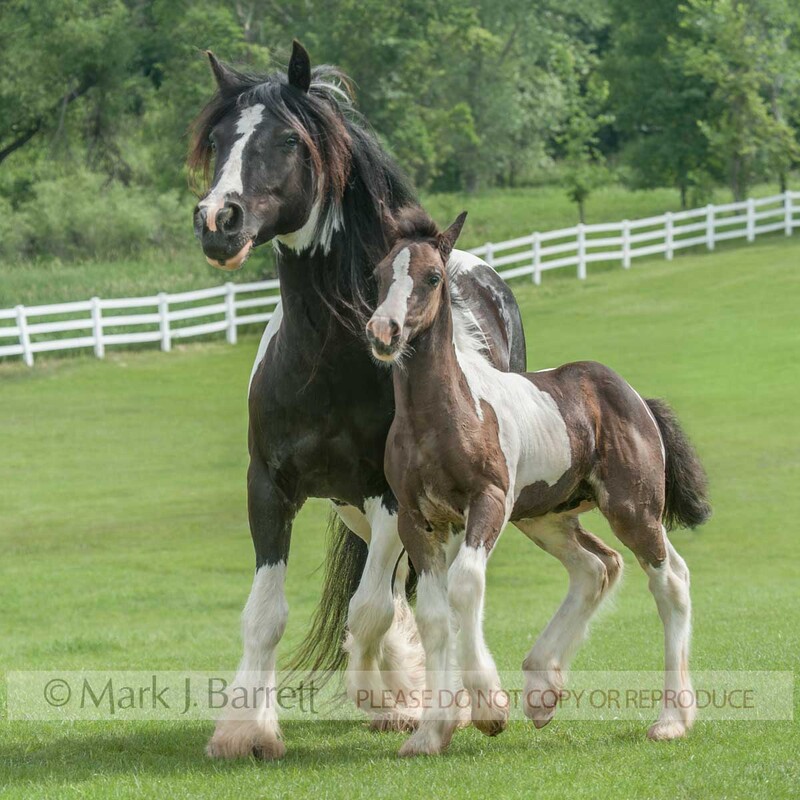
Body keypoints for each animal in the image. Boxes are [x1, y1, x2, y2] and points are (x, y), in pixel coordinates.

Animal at [188, 41, 527, 759]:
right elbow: (266, 613)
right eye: (220, 139)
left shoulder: (392, 495)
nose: (217, 221)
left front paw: (386, 694)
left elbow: (369, 609)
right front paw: (245, 729)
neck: (328, 360)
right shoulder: (269, 486)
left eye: (288, 139)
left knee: (426, 593)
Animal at [365, 206, 711, 756]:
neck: (438, 417)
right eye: (378, 276)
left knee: (669, 580)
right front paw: (431, 732)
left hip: (633, 510)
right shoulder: (418, 521)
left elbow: (466, 585)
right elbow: (434, 615)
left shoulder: (487, 503)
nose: (384, 331)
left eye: (433, 277)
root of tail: (635, 397)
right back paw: (541, 689)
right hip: (546, 516)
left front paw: (489, 708)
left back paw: (671, 720)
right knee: (597, 566)